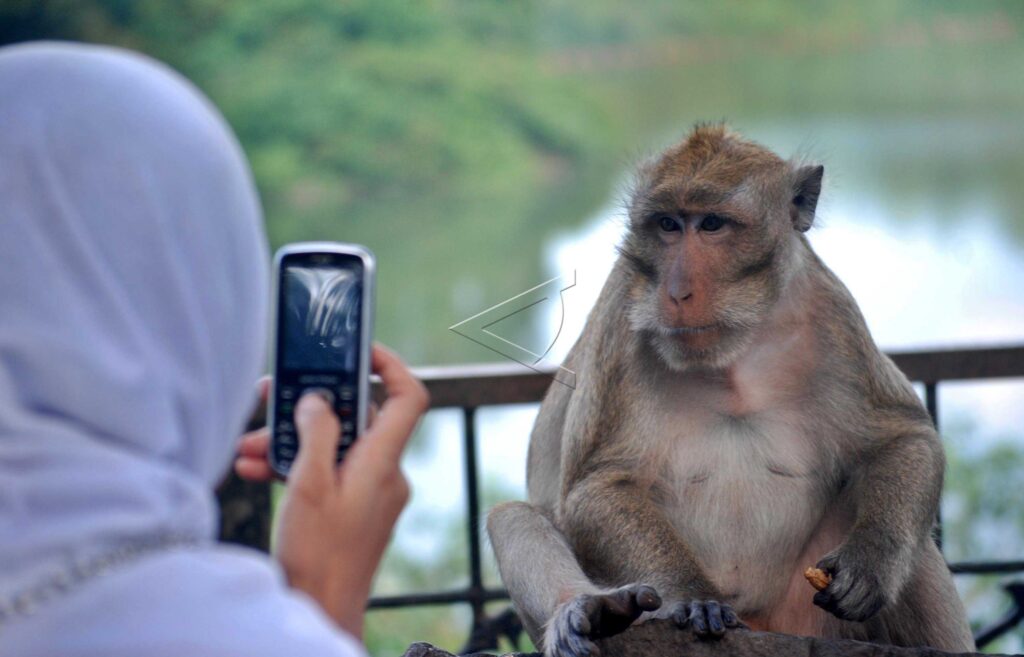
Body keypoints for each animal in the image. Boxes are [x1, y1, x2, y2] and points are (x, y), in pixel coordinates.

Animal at [487, 124, 974, 657]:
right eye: (668, 225)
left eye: (712, 224)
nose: (676, 292)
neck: (731, 354)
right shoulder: (622, 319)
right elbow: (598, 488)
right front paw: (694, 596)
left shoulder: (833, 313)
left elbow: (903, 439)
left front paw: (870, 562)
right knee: (512, 519)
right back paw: (595, 611)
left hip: (806, 616)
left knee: (914, 547)